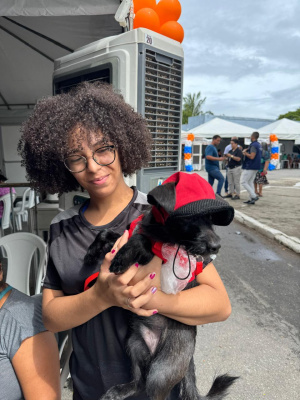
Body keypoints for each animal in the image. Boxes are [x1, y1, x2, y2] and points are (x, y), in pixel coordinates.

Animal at [83, 173, 238, 400]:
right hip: (134, 345)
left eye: (211, 220)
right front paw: (91, 253)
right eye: (190, 218)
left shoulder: (154, 258)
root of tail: (188, 361)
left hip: (162, 371)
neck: (158, 231)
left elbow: (140, 240)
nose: (216, 247)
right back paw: (119, 391)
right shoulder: (125, 235)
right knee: (139, 383)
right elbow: (106, 232)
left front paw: (120, 258)